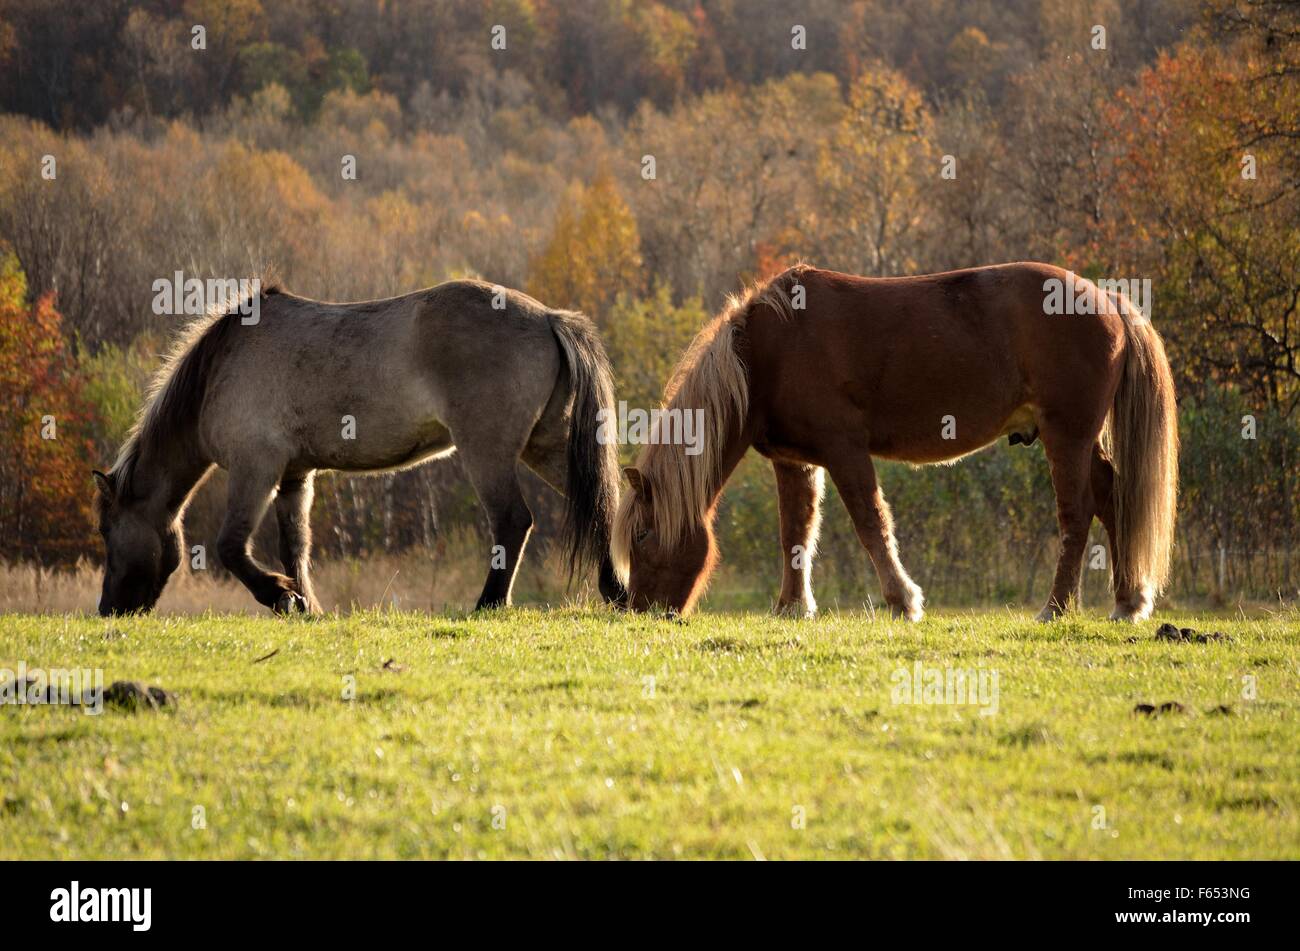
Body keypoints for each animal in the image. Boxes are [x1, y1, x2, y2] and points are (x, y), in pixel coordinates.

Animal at [93, 281, 626, 616]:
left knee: (513, 522)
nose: (109, 609)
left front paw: (279, 596)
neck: (221, 366)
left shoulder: (255, 469)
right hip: (545, 448)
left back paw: (490, 603)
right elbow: (295, 547)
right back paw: (617, 592)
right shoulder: (294, 477)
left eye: (106, 530)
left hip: (488, 453)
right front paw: (306, 604)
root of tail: (549, 318)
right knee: (601, 504)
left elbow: (231, 546)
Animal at [611, 263, 1178, 622]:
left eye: (642, 535)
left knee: (1077, 514)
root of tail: (1111, 301)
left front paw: (902, 600)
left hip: (1067, 437)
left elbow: (870, 523)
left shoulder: (845, 452)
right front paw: (792, 608)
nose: (640, 611)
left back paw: (1055, 608)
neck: (768, 352)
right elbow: (796, 533)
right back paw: (1128, 602)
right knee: (1113, 499)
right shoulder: (795, 463)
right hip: (1082, 442)